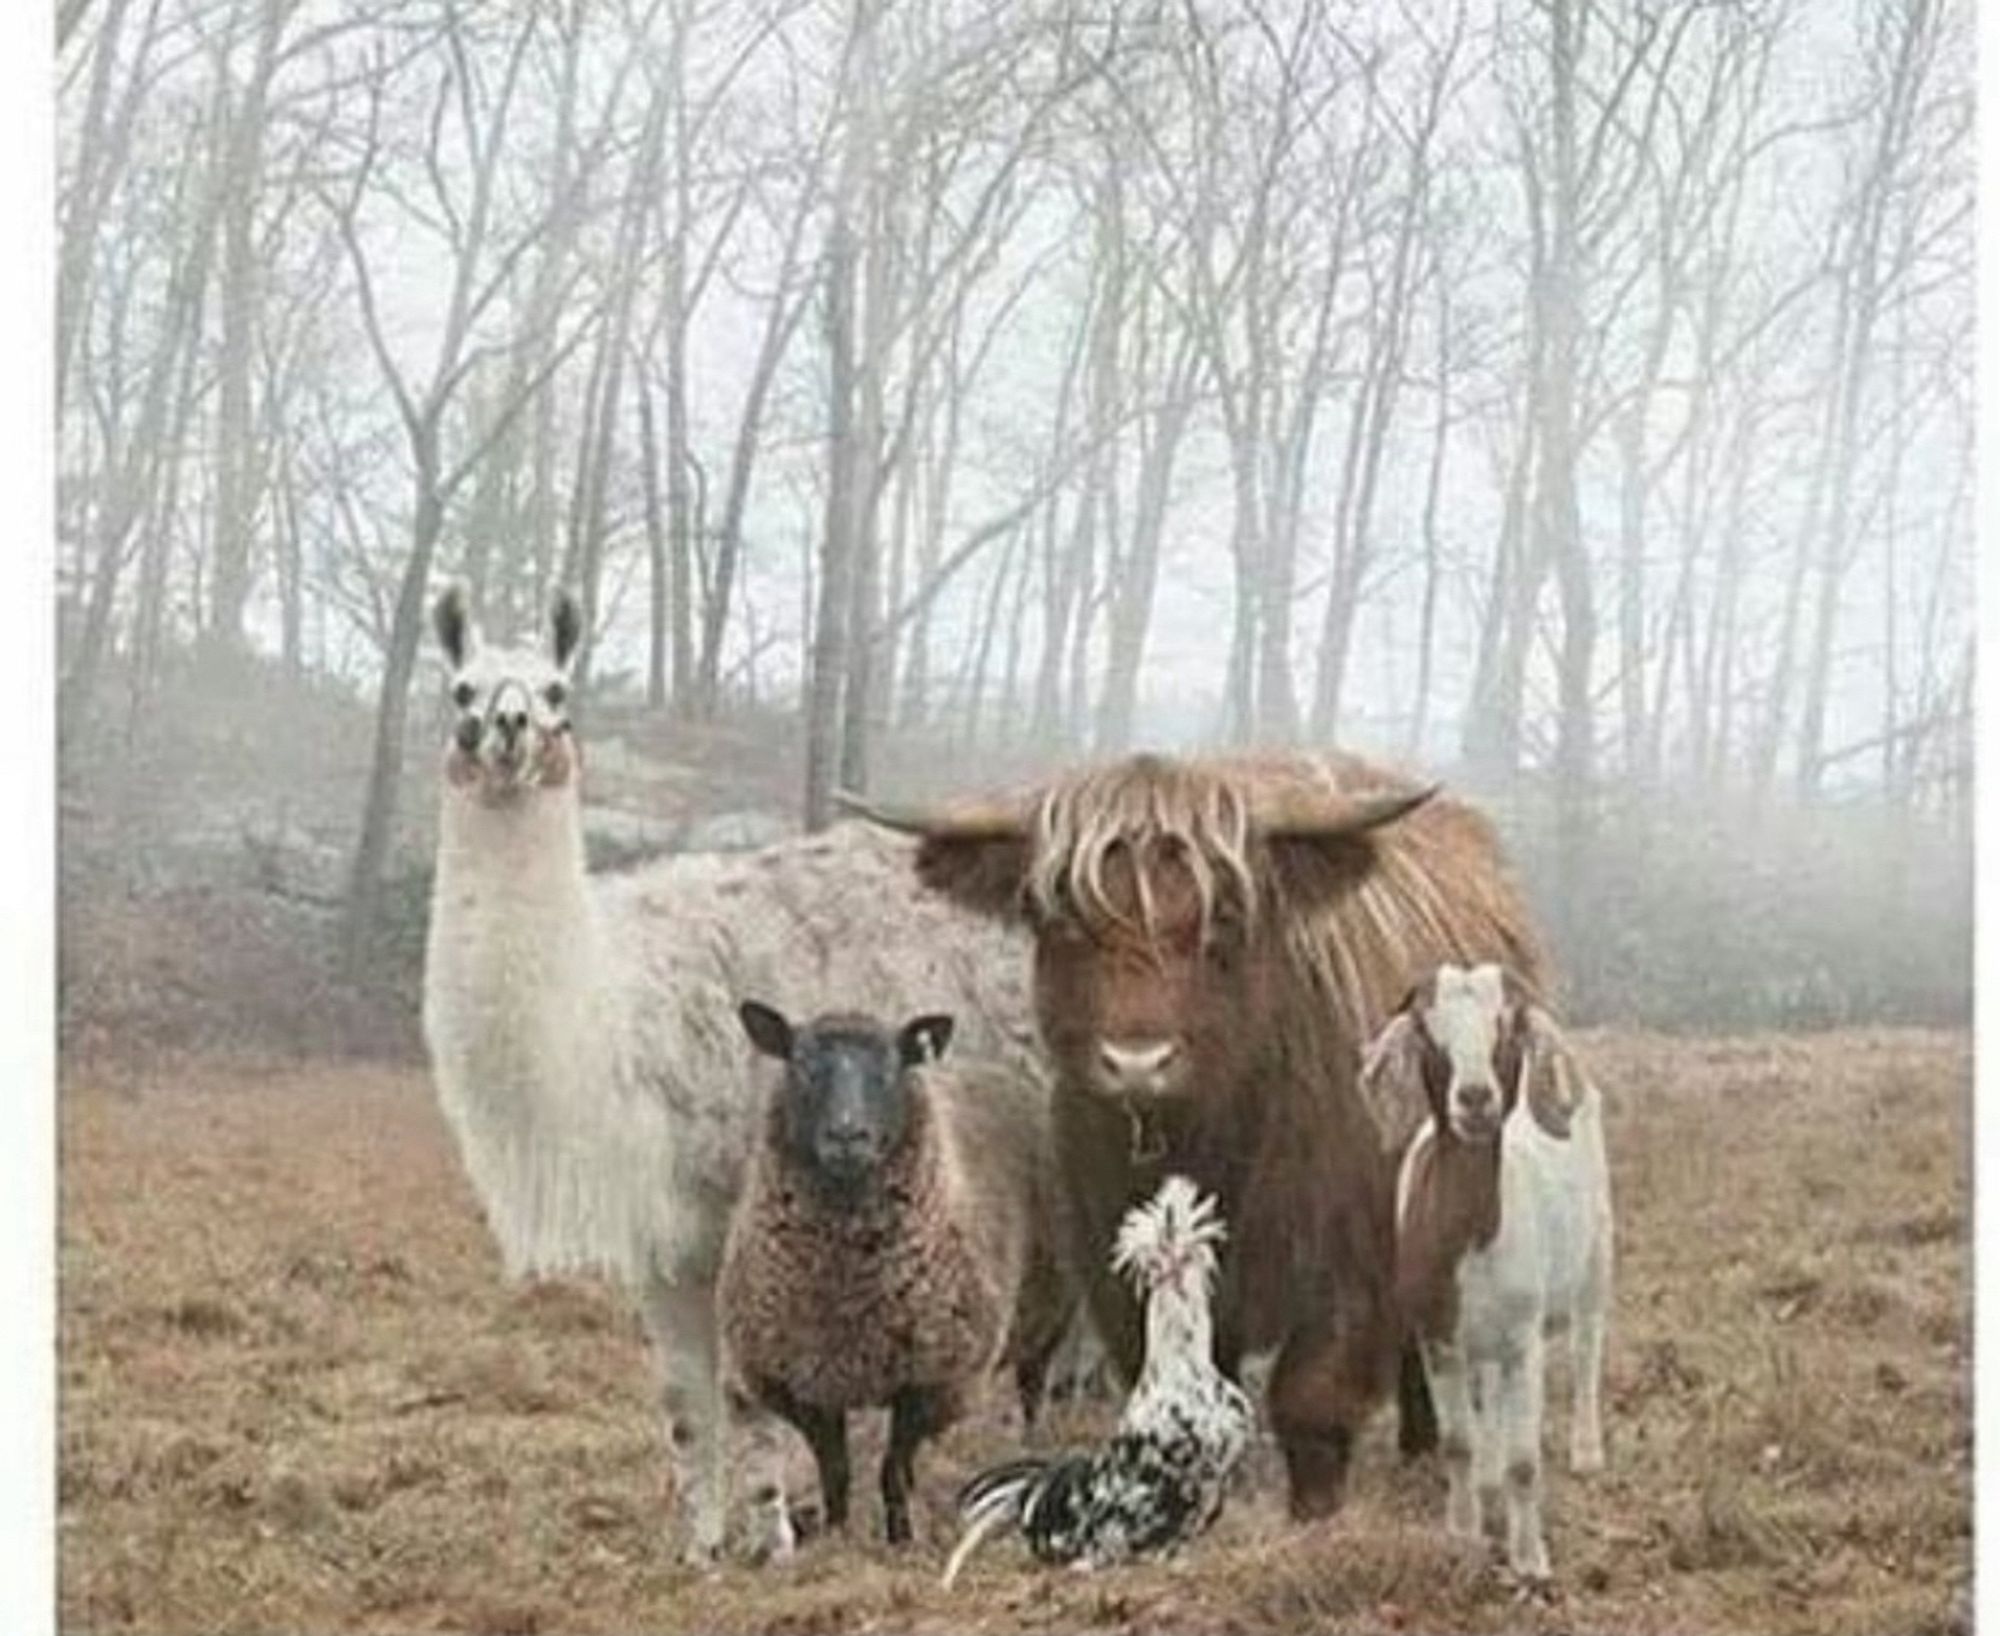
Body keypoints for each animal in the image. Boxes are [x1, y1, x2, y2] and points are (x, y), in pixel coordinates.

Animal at [1376, 964, 1608, 1576]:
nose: (1477, 1098)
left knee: (1587, 1349)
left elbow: (1525, 1461)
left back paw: (1587, 1452)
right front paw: (1463, 1534)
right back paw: (1487, 1475)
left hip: (1598, 1254)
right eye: (1427, 1030)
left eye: (1506, 1026)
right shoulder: (1436, 1335)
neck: (1472, 1235)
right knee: (1491, 1396)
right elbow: (1457, 1442)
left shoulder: (1524, 1339)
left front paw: (1530, 1560)